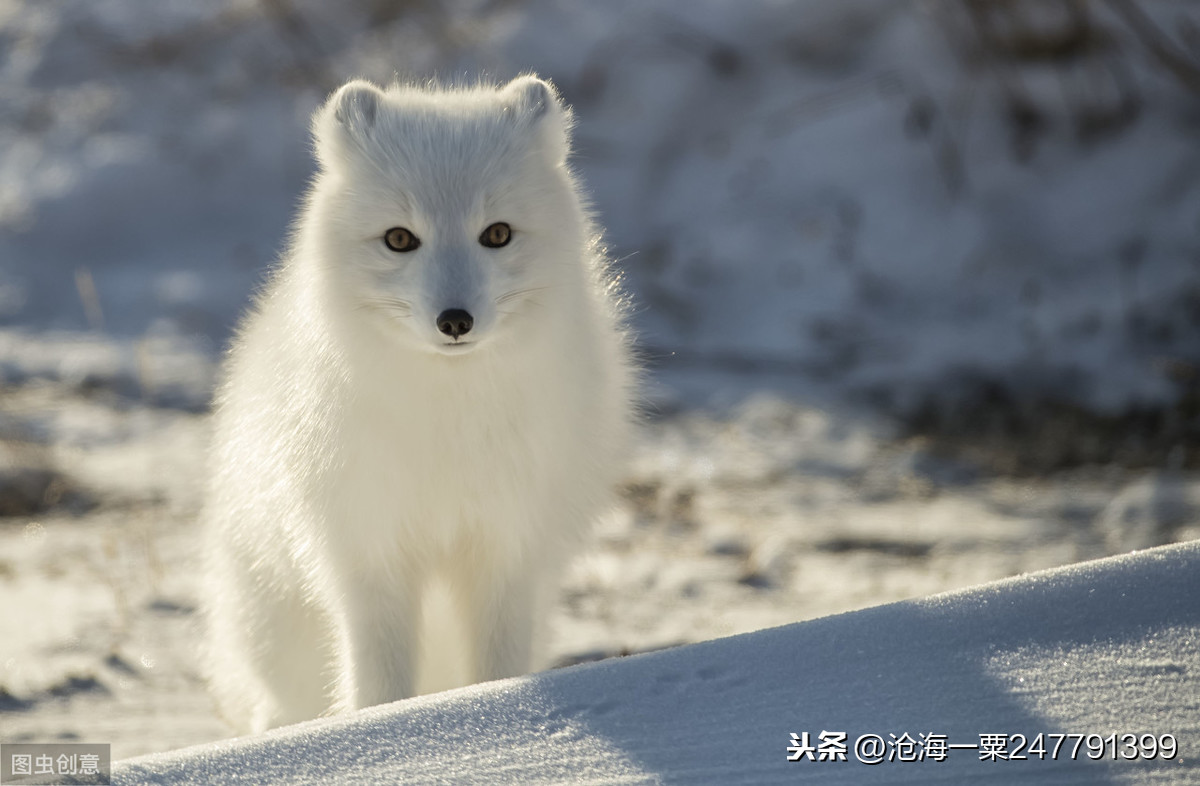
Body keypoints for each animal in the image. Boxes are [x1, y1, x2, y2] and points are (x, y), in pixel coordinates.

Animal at [204, 76, 638, 734]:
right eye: (400, 239)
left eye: (497, 233)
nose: (454, 320)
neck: (449, 419)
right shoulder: (369, 552)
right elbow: (379, 682)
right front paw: (387, 730)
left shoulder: (506, 547)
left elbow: (495, 666)